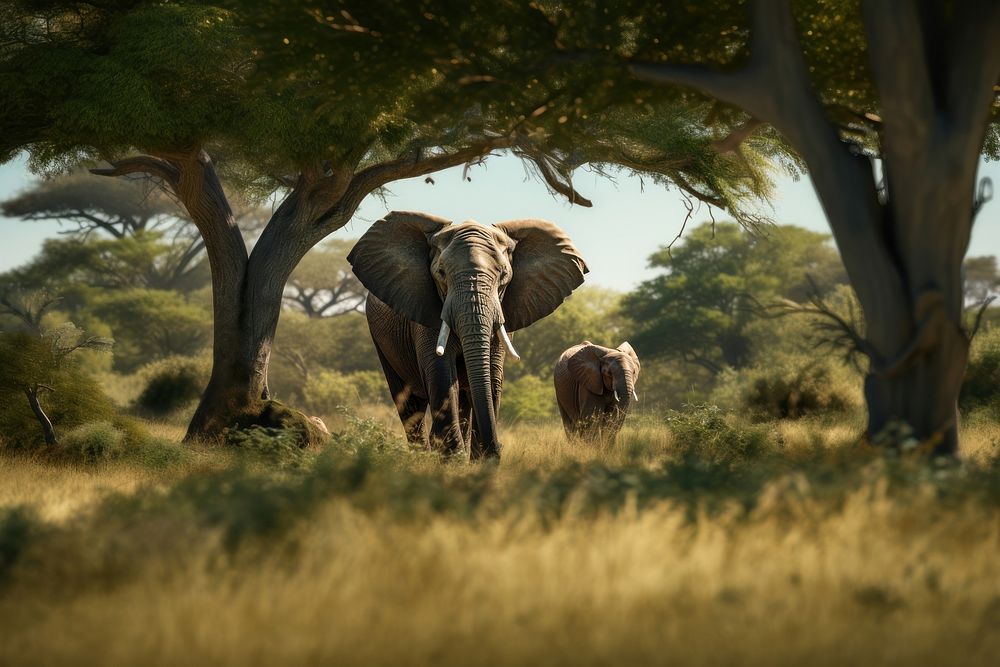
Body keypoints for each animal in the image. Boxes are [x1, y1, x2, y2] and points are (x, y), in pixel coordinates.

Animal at [350, 213, 588, 460]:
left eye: (503, 275)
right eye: (441, 273)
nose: (497, 450)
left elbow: (492, 377)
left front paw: (480, 461)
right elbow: (441, 373)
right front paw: (453, 460)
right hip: (380, 340)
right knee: (409, 403)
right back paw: (422, 457)